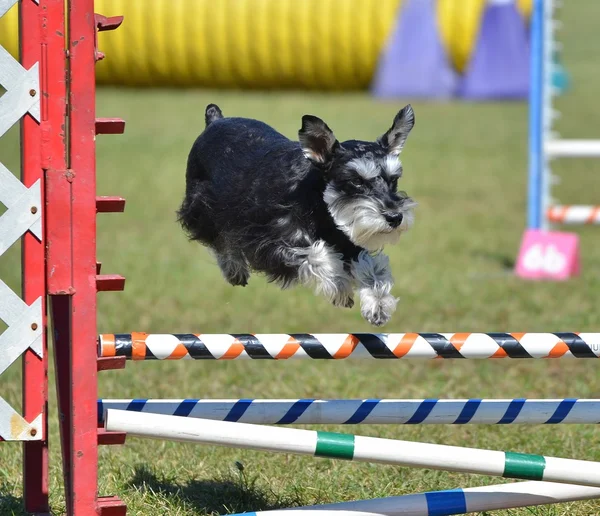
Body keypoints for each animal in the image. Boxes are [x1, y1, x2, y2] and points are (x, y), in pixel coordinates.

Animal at [176, 103, 414, 324]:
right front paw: (339, 284)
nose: (395, 217)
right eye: (356, 181)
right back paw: (234, 269)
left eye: (394, 179)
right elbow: (316, 253)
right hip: (205, 208)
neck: (317, 202)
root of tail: (215, 120)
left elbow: (371, 266)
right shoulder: (274, 242)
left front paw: (378, 303)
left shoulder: (348, 241)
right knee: (220, 240)